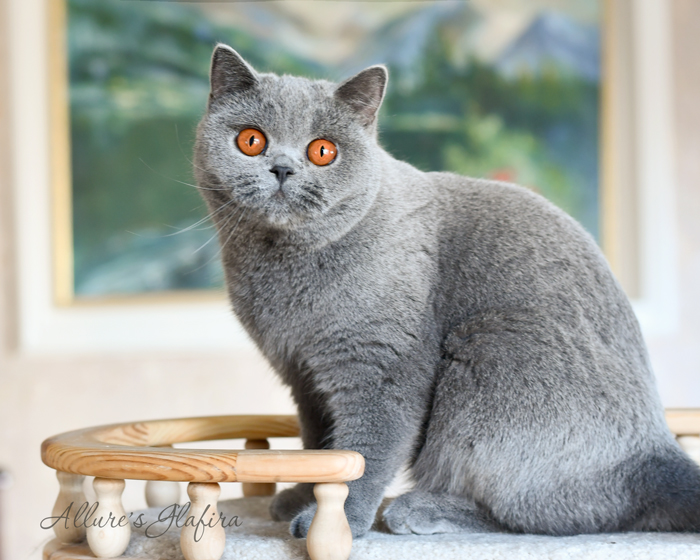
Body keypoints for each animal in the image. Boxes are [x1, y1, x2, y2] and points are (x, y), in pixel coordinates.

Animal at [193, 44, 700, 540]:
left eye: (322, 151)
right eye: (252, 140)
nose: (282, 168)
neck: (283, 274)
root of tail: (657, 454)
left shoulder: (380, 368)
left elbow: (362, 455)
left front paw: (335, 521)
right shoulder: (304, 376)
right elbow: (321, 448)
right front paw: (301, 497)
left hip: (488, 351)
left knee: (549, 513)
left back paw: (417, 509)